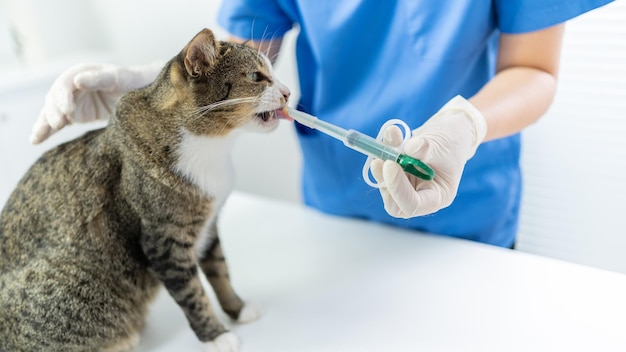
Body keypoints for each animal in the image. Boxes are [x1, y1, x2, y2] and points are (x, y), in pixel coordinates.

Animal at [0, 28, 288, 352]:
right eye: (255, 76)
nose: (288, 93)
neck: (212, 148)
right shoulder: (164, 242)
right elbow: (193, 296)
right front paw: (216, 335)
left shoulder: (208, 227)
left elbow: (220, 272)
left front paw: (236, 309)